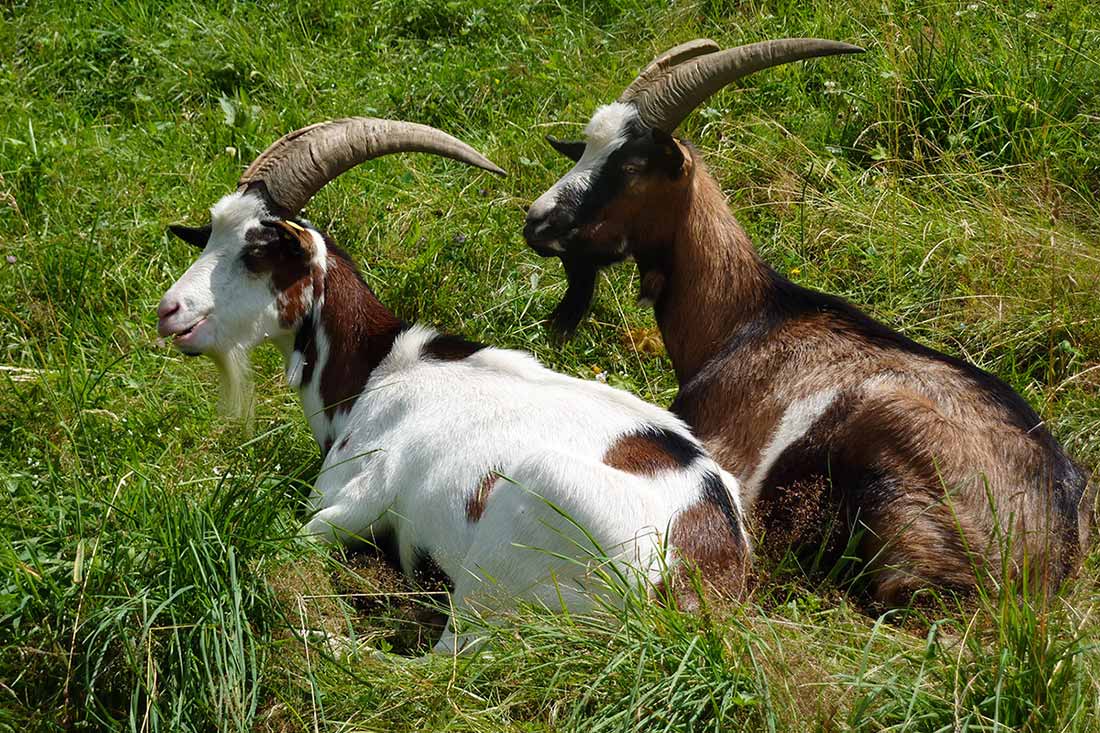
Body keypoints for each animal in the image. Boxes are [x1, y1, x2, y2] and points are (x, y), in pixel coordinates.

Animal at [157, 117, 750, 653]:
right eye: (208, 237)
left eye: (257, 251)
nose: (169, 312)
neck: (377, 370)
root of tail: (693, 580)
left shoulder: (363, 493)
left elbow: (289, 542)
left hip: (504, 558)